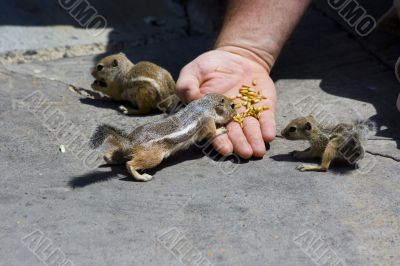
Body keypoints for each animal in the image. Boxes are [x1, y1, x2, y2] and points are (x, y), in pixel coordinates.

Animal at [89, 93, 236, 181]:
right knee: (130, 164)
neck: (205, 105)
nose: (235, 111)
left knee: (112, 155)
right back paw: (142, 177)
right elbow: (212, 133)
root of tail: (130, 141)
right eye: (231, 105)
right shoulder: (208, 121)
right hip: (153, 157)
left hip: (126, 151)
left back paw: (108, 159)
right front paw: (222, 129)